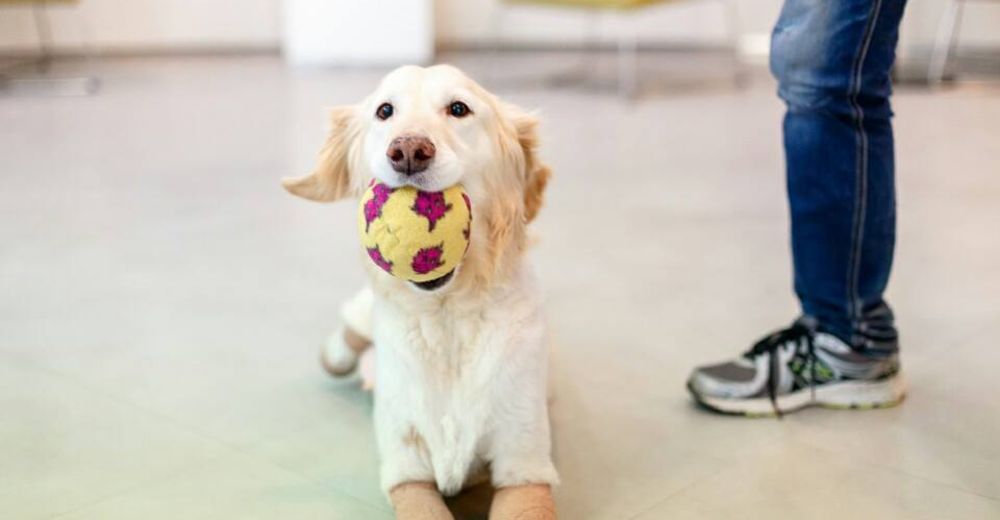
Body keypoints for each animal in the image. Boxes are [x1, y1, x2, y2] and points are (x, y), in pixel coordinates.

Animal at [286, 65, 560, 520]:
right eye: (385, 111)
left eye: (459, 109)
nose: (410, 150)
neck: (446, 316)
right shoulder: (405, 467)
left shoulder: (525, 466)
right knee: (348, 333)